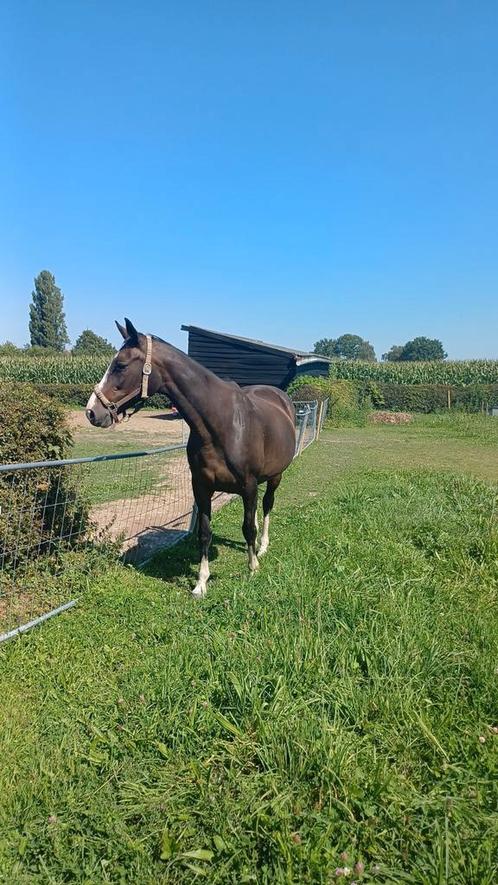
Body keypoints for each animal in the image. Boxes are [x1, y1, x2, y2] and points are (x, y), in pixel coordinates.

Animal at [85, 318, 296, 592]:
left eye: (120, 365)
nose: (91, 412)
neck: (222, 425)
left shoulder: (248, 486)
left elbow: (247, 528)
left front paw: (252, 568)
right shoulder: (202, 486)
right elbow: (204, 532)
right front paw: (201, 583)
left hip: (275, 477)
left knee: (267, 504)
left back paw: (262, 547)